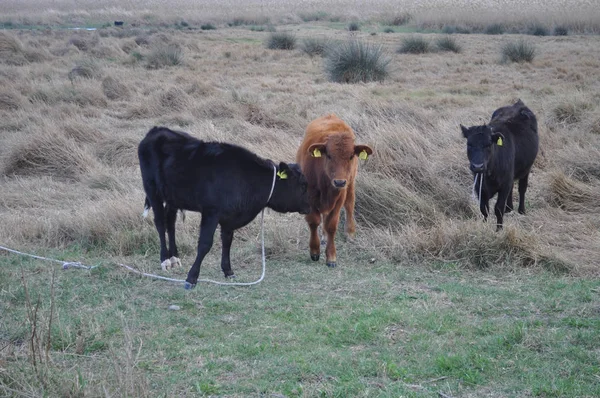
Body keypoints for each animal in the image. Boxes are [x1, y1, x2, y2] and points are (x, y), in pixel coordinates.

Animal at [139, 126, 310, 288]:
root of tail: (157, 130)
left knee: (170, 222)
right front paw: (191, 278)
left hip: (173, 198)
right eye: (303, 185)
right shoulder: (211, 212)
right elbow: (205, 244)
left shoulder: (230, 216)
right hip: (152, 189)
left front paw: (228, 271)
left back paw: (174, 257)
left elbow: (227, 241)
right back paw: (165, 260)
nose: (311, 206)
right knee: (160, 222)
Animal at [298, 113, 372, 268]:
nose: (339, 182)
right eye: (329, 155)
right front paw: (315, 251)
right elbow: (314, 221)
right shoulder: (309, 197)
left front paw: (331, 257)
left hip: (350, 185)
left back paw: (350, 232)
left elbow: (331, 225)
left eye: (351, 156)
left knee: (349, 205)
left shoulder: (339, 197)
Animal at [462, 99, 540, 230]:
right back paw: (509, 208)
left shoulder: (504, 185)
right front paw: (484, 225)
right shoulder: (480, 187)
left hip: (527, 168)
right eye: (469, 144)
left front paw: (499, 229)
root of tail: (518, 104)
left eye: (488, 144)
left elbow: (498, 208)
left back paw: (521, 210)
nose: (478, 166)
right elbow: (484, 209)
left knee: (522, 188)